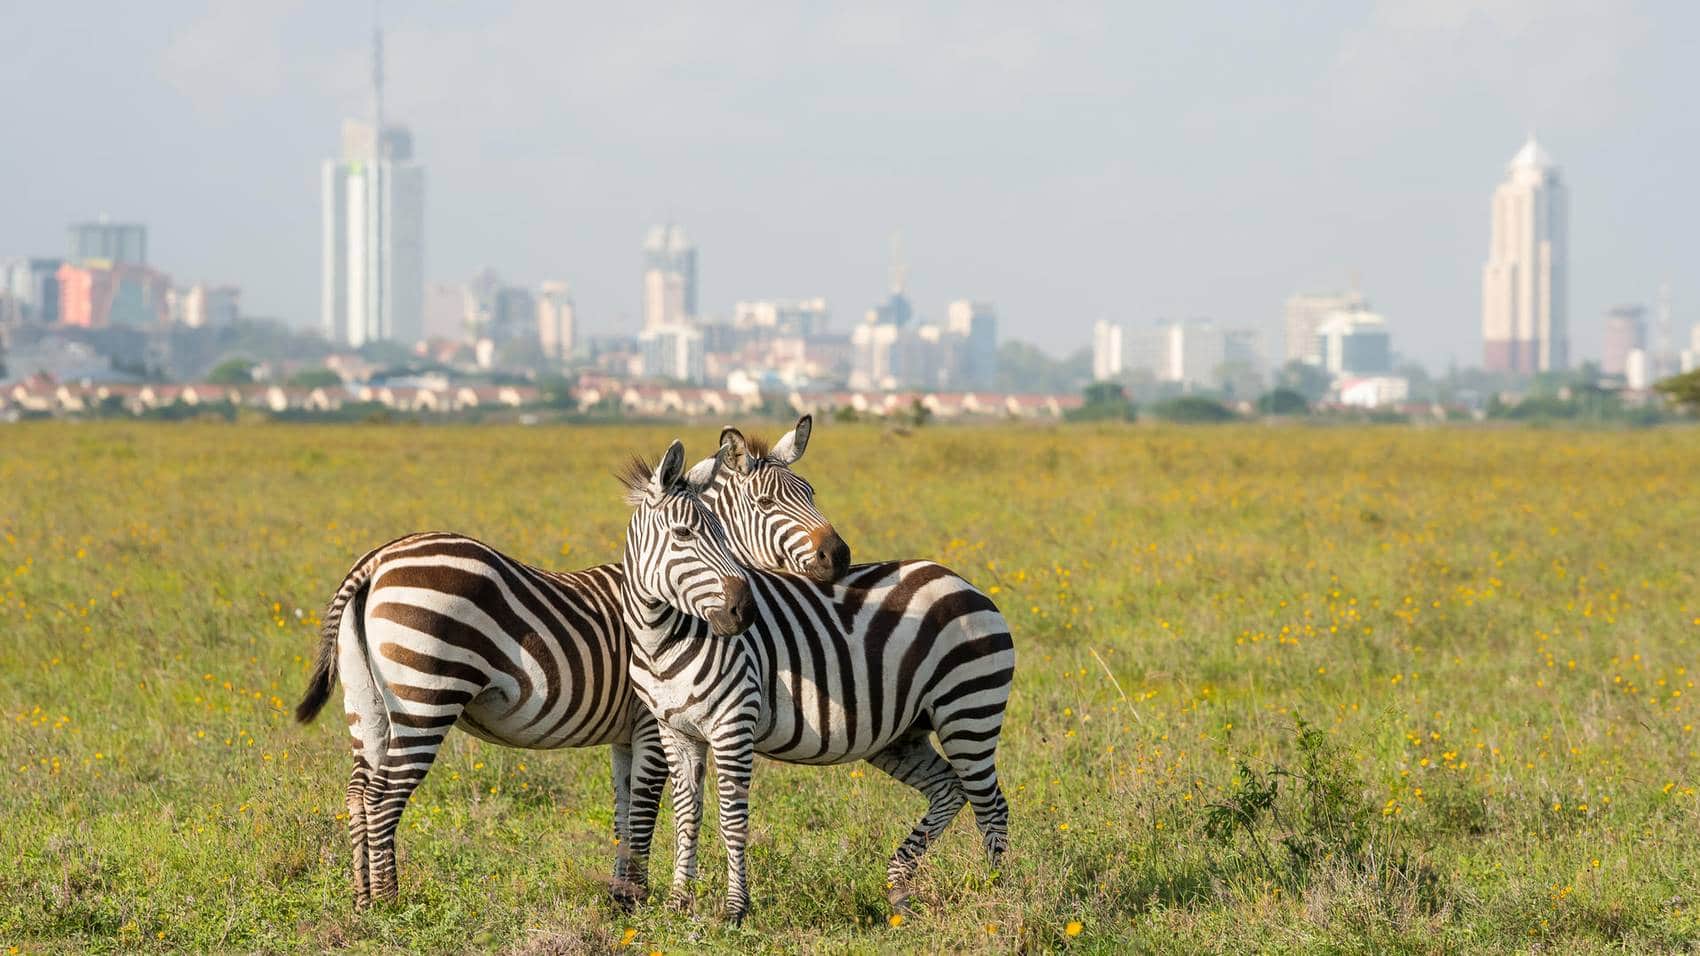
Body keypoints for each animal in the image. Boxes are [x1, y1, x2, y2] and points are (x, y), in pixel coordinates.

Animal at [292, 417, 843, 909]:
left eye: (811, 492)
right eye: (767, 503)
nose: (838, 556)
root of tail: (376, 560)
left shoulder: (626, 734)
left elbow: (624, 811)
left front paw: (621, 896)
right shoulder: (650, 723)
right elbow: (645, 809)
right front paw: (636, 899)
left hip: (367, 702)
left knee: (359, 791)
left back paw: (362, 898)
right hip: (426, 697)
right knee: (384, 796)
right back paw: (389, 902)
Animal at [620, 439, 1015, 923]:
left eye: (722, 537)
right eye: (682, 535)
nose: (743, 612)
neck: (663, 639)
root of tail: (964, 582)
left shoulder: (733, 725)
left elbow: (732, 819)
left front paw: (735, 910)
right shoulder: (675, 731)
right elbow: (686, 816)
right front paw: (679, 904)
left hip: (969, 711)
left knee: (991, 806)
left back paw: (995, 896)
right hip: (902, 735)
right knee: (950, 789)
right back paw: (899, 888)